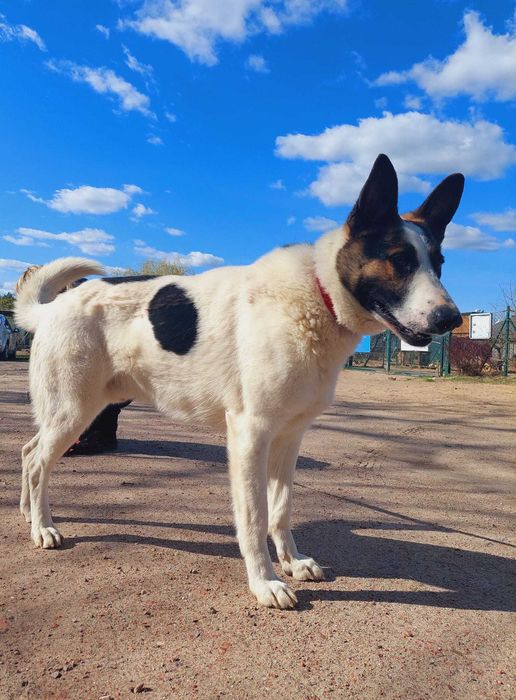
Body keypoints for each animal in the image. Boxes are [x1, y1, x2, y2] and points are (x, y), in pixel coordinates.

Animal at [15, 153, 464, 608]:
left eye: (440, 264)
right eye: (400, 260)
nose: (451, 320)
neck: (316, 295)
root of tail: (52, 307)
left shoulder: (289, 438)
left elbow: (281, 509)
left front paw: (292, 562)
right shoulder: (251, 436)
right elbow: (255, 517)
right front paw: (264, 581)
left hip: (74, 413)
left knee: (28, 452)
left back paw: (29, 513)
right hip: (74, 412)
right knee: (37, 461)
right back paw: (43, 528)